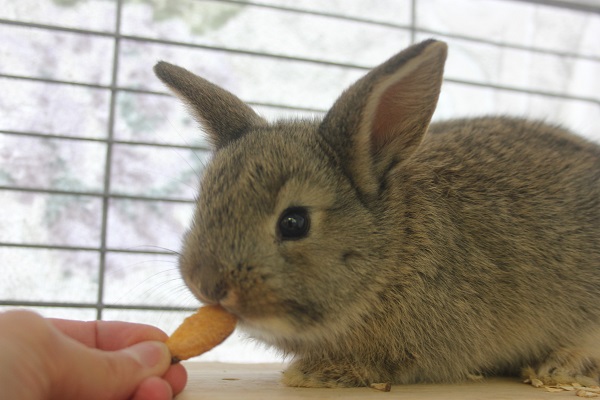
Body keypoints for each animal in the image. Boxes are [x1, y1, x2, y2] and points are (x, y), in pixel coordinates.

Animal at [154, 39, 600, 388]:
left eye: (294, 222)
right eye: (204, 203)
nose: (206, 284)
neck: (395, 248)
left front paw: (319, 373)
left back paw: (557, 365)